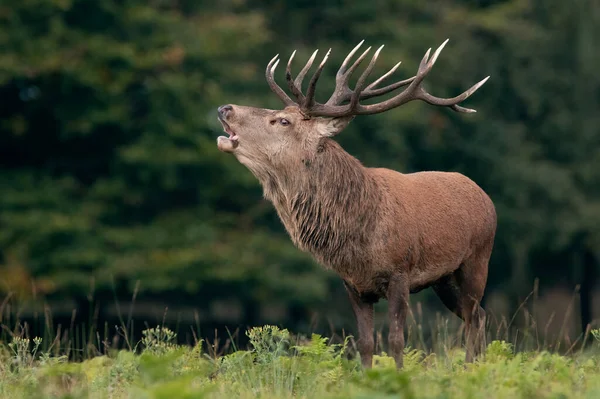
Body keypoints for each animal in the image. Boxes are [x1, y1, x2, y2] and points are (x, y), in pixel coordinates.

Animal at [216, 40, 496, 368]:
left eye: (283, 121)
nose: (225, 108)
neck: (357, 236)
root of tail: (484, 195)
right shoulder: (354, 285)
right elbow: (365, 343)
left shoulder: (400, 273)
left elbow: (396, 341)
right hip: (444, 279)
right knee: (478, 315)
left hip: (477, 260)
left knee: (474, 315)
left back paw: (471, 367)